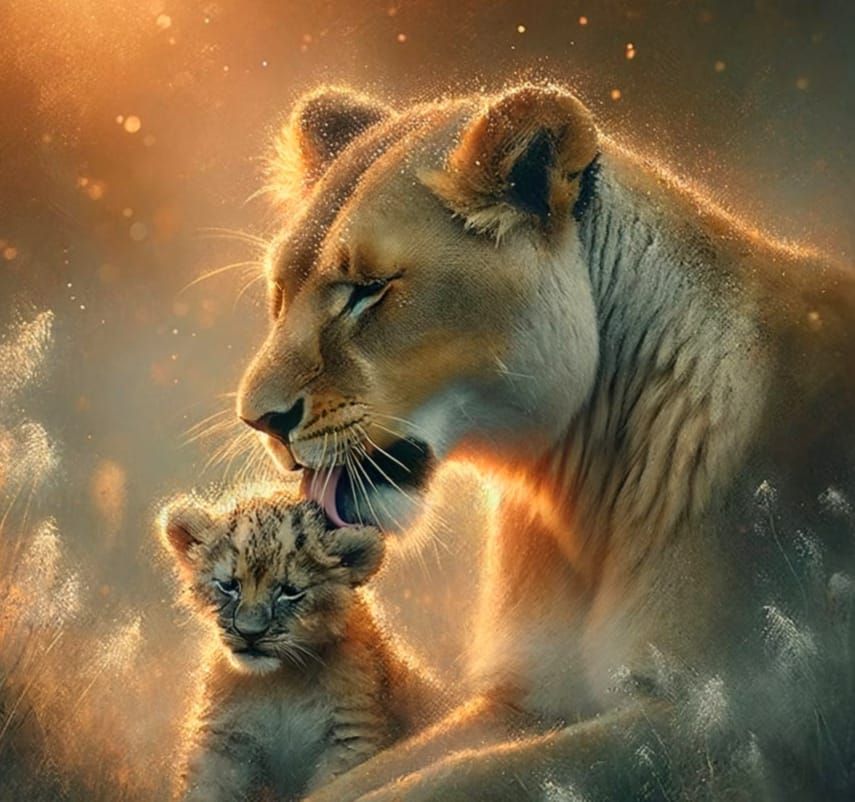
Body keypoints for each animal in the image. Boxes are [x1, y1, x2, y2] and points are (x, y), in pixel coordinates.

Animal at [159, 493, 439, 801]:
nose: (249, 634)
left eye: (290, 591)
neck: (281, 681)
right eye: (229, 585)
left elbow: (338, 787)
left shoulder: (351, 735)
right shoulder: (224, 741)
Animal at [236, 84, 855, 800]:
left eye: (370, 290)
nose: (258, 419)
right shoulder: (523, 699)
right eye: (279, 294)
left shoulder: (729, 724)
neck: (579, 488)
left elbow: (461, 778)